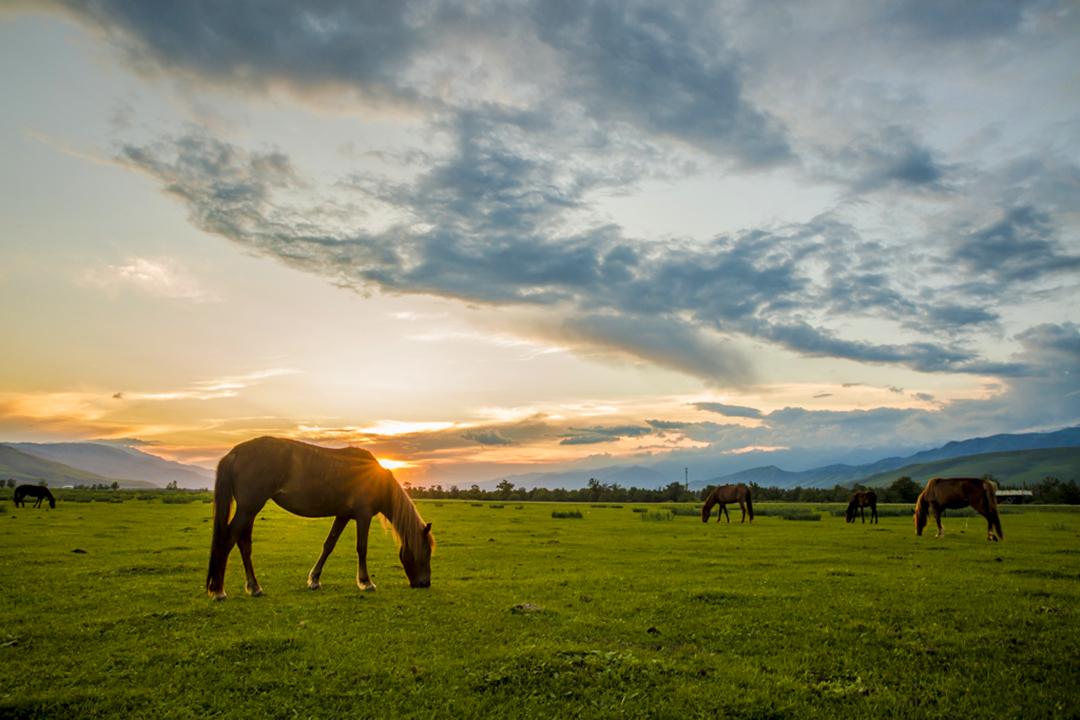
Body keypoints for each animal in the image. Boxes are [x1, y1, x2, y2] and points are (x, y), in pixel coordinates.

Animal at [204, 436, 432, 600]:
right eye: (427, 552)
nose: (425, 583)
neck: (375, 478)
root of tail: (235, 453)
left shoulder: (343, 515)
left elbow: (329, 545)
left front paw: (314, 580)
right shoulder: (363, 515)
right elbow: (362, 547)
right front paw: (366, 582)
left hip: (249, 510)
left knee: (244, 544)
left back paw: (254, 587)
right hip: (249, 509)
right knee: (228, 540)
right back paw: (219, 591)